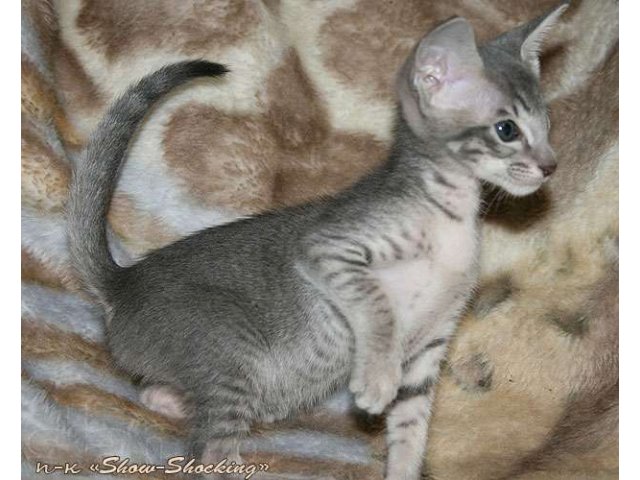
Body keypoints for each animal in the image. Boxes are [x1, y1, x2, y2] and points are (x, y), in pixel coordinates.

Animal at [70, 4, 568, 480]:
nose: (550, 166)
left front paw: (402, 462)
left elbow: (411, 431)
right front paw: (376, 377)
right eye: (507, 130)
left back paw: (168, 399)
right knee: (209, 451)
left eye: (547, 127)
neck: (450, 215)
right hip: (230, 348)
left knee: (169, 399)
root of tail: (124, 281)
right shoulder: (327, 248)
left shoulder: (430, 346)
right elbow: (377, 305)